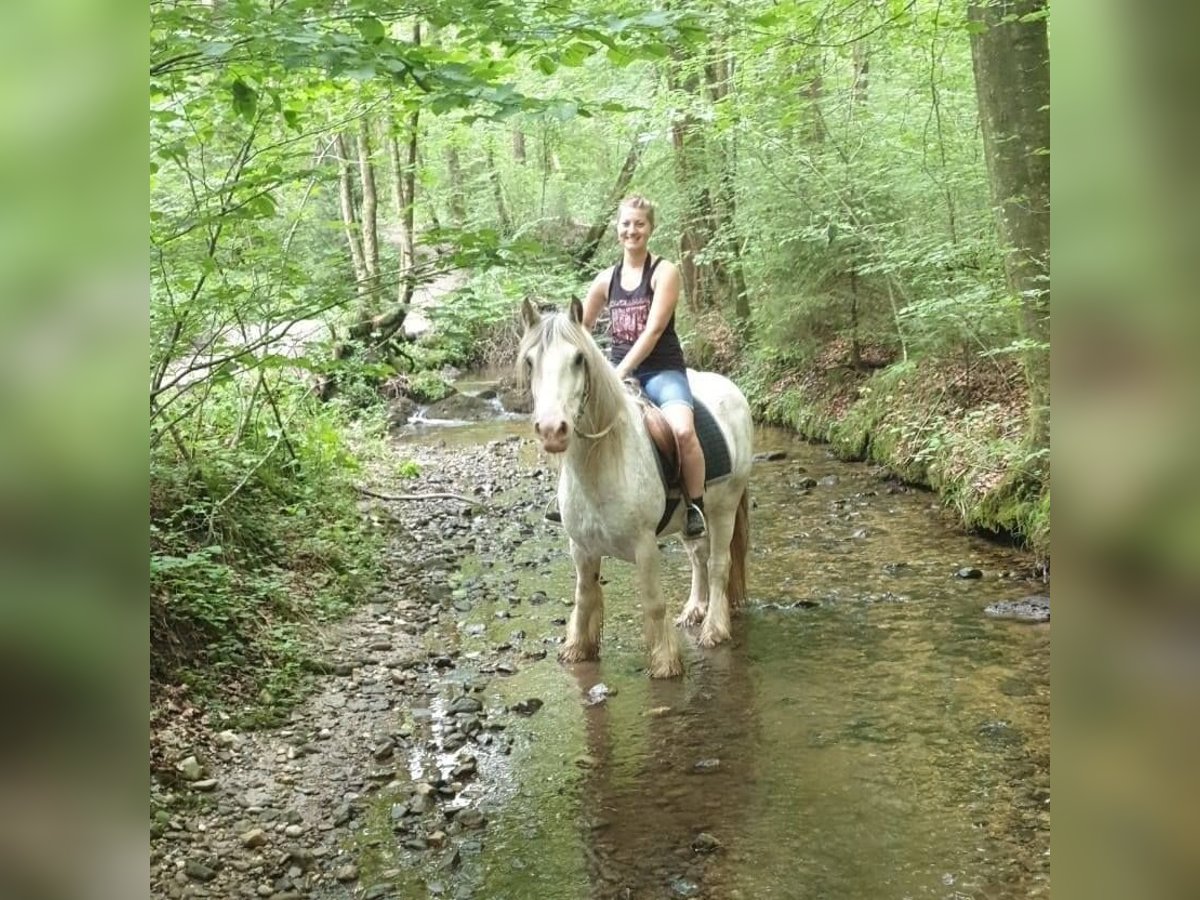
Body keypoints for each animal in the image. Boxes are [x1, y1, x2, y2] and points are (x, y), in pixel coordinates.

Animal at [516, 300, 748, 681]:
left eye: (578, 358)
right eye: (530, 361)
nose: (552, 430)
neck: (602, 465)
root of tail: (732, 389)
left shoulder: (644, 545)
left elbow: (653, 602)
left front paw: (665, 663)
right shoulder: (581, 547)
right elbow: (585, 596)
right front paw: (577, 649)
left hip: (724, 506)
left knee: (718, 563)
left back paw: (714, 628)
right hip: (690, 519)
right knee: (698, 556)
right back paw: (693, 611)